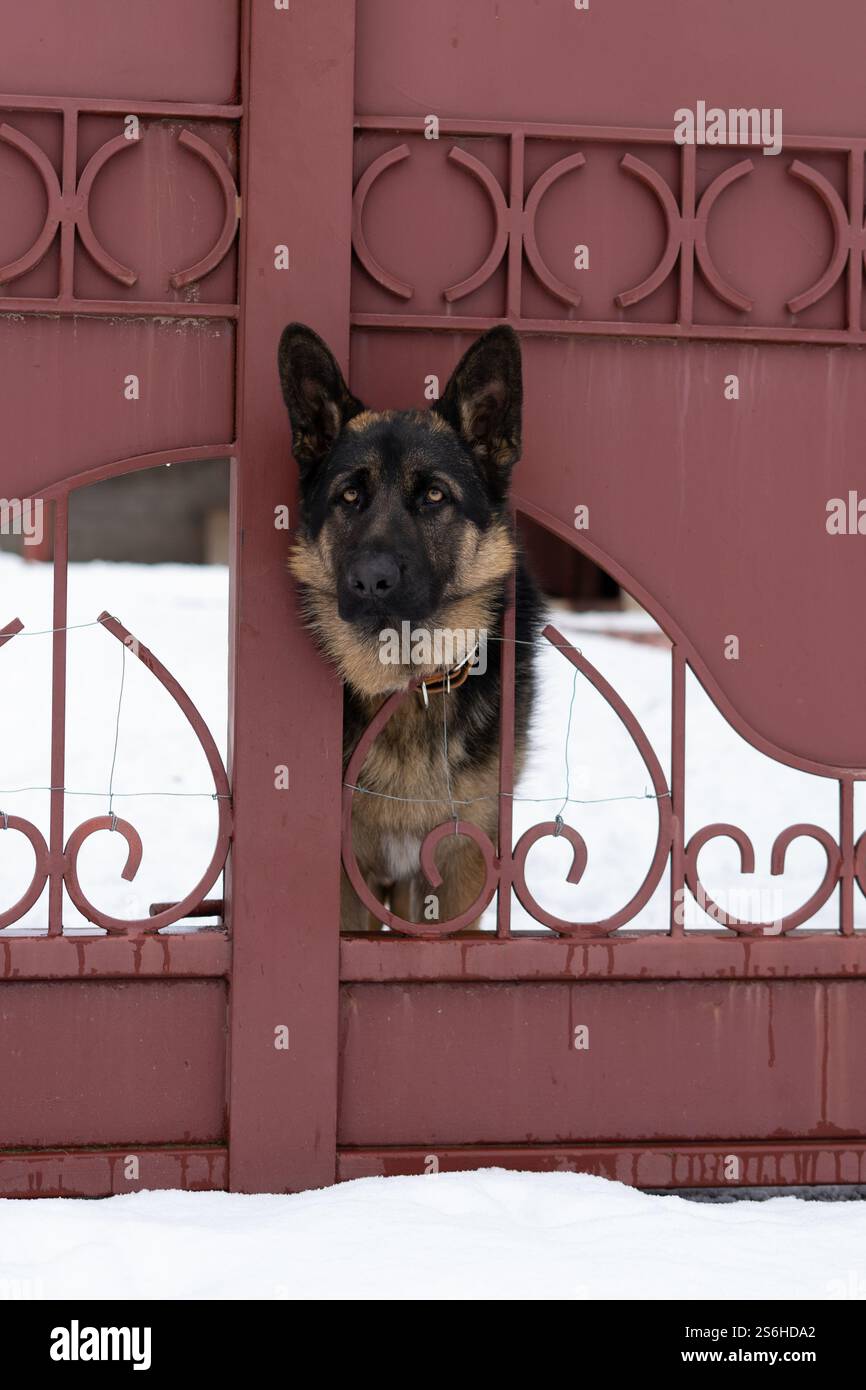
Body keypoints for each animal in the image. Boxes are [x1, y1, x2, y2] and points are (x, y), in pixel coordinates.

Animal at [278, 323, 542, 928]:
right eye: (350, 495)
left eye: (434, 496)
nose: (371, 581)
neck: (406, 682)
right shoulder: (346, 880)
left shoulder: (460, 868)